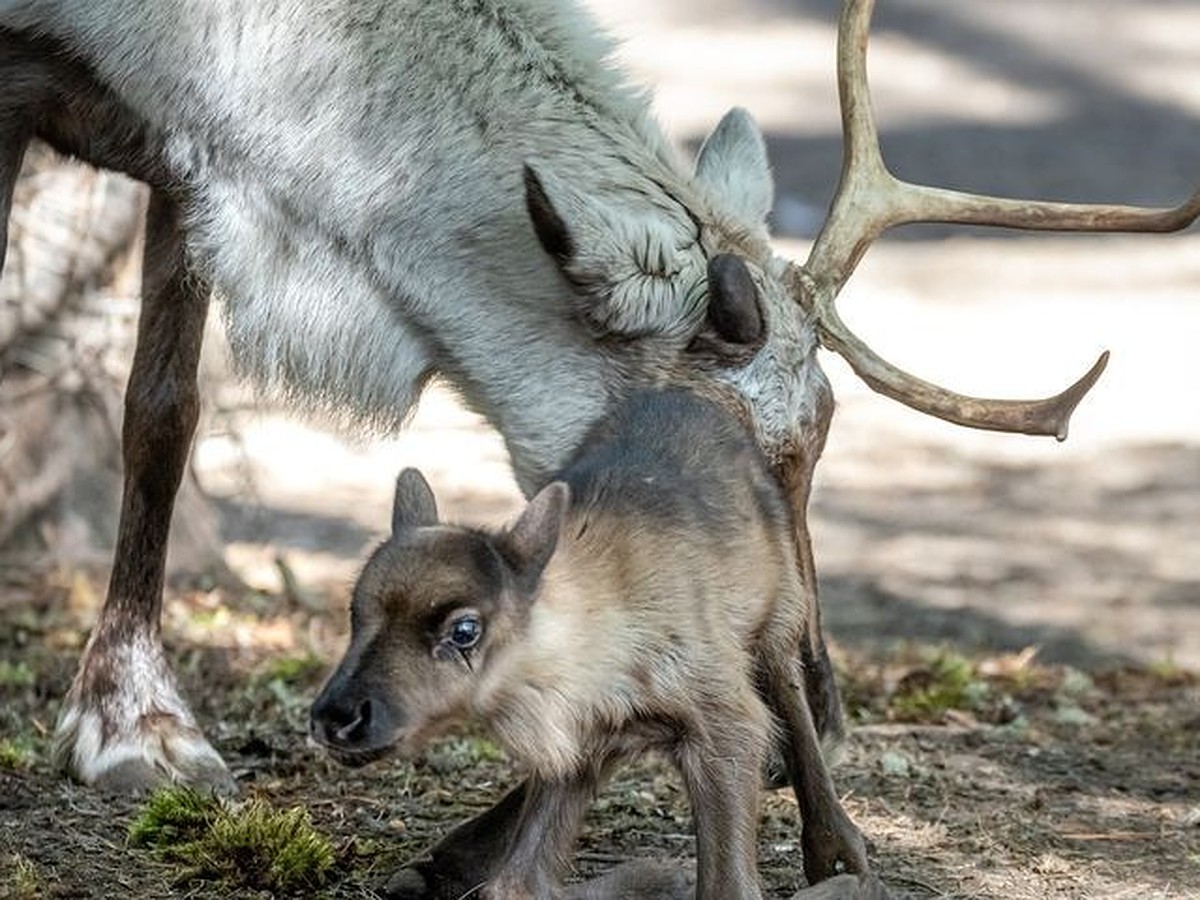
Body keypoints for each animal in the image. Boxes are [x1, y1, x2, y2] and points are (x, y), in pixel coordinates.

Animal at [314, 391, 868, 900]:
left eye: (465, 630)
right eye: (355, 610)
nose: (336, 717)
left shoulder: (725, 722)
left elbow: (728, 886)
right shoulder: (575, 748)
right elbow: (518, 884)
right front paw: (665, 875)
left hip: (779, 618)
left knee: (794, 701)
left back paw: (840, 855)